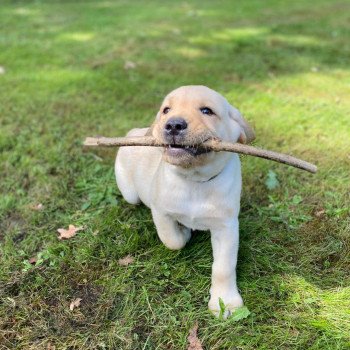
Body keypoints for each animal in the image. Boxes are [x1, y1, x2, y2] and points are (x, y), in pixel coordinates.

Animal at [115, 85, 254, 318]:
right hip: (130, 193)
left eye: (207, 111)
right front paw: (184, 231)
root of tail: (132, 132)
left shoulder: (226, 226)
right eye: (166, 110)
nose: (173, 125)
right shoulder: (160, 212)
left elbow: (223, 268)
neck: (195, 181)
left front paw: (225, 301)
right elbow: (172, 240)